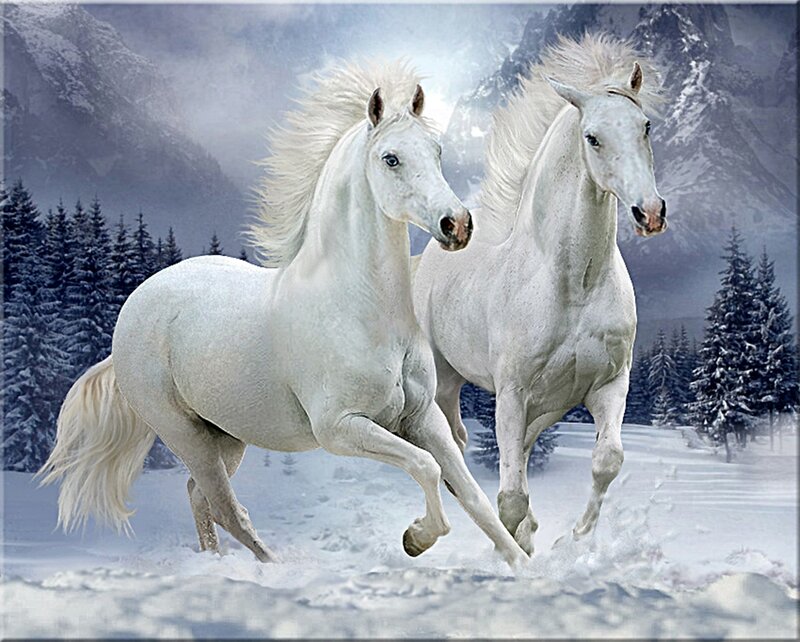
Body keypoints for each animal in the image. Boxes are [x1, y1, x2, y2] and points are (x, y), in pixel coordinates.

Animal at [38, 62, 529, 568]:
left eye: (436, 151)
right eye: (390, 158)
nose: (458, 225)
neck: (360, 311)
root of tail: (133, 309)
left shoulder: (423, 418)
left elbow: (472, 495)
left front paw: (520, 564)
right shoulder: (339, 428)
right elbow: (426, 467)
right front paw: (417, 538)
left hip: (227, 434)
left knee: (199, 495)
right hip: (182, 432)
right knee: (226, 506)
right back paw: (271, 565)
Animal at [413, 35, 668, 555]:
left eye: (646, 126)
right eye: (592, 137)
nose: (649, 213)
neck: (573, 285)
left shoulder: (608, 384)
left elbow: (607, 460)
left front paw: (571, 540)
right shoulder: (511, 394)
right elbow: (509, 498)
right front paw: (516, 553)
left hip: (544, 406)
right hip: (445, 380)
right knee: (455, 448)